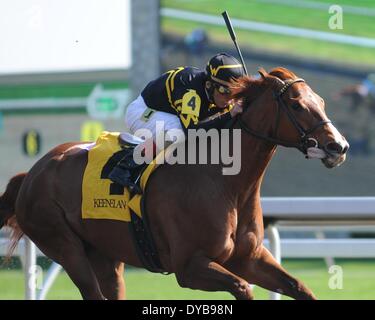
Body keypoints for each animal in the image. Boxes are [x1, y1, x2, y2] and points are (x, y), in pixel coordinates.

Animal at [0, 67, 350, 300]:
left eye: (320, 101)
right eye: (296, 104)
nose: (339, 146)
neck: (226, 183)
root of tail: (32, 172)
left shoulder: (249, 258)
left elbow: (299, 287)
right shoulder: (190, 266)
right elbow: (242, 288)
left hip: (105, 255)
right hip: (64, 246)